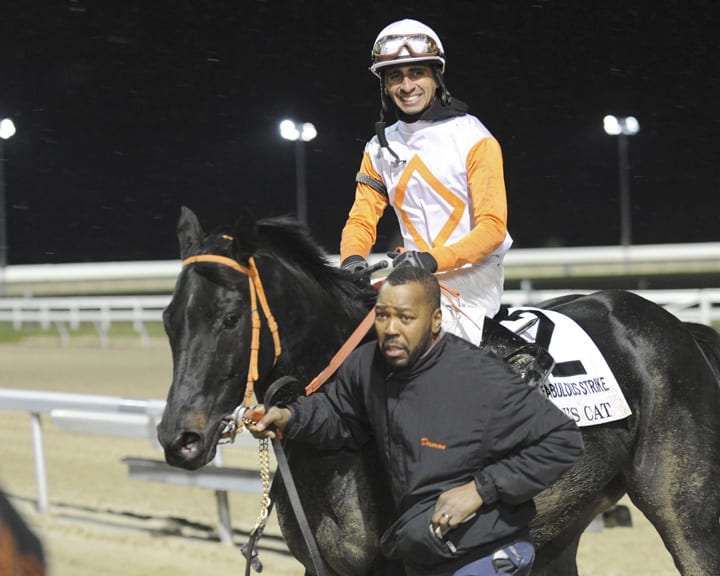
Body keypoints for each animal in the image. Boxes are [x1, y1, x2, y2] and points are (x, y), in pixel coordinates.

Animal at [159, 206, 720, 576]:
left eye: (230, 318)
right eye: (169, 319)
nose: (178, 439)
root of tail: (678, 326)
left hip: (686, 515)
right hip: (561, 529)